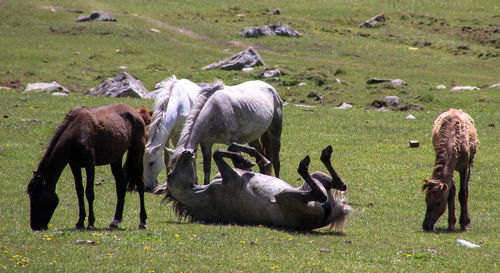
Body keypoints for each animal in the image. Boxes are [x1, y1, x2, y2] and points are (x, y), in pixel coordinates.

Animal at [27, 103, 147, 231]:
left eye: (38, 197)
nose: (35, 226)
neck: (75, 135)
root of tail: (135, 112)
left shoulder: (90, 165)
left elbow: (89, 192)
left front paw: (90, 223)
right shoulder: (74, 166)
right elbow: (79, 192)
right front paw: (80, 222)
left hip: (137, 153)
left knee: (140, 185)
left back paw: (142, 222)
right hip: (116, 158)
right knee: (121, 185)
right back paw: (115, 221)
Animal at [165, 144, 352, 230]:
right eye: (170, 175)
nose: (187, 151)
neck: (202, 194)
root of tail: (333, 212)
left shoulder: (236, 174)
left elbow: (231, 150)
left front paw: (247, 157)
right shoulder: (231, 178)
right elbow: (217, 153)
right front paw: (248, 158)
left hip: (312, 179)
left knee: (338, 184)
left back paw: (325, 155)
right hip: (285, 196)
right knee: (320, 193)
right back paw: (306, 164)